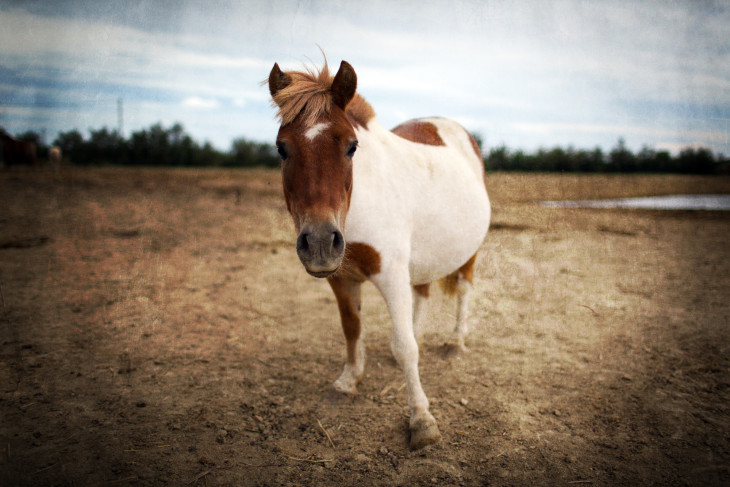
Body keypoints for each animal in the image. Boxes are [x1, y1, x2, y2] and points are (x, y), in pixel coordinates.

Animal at [268, 58, 490, 450]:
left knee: (463, 290)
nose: (321, 241)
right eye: (282, 148)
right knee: (422, 292)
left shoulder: (390, 273)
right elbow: (352, 329)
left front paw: (421, 419)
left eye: (352, 146)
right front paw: (347, 381)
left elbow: (405, 347)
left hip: (469, 253)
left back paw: (454, 342)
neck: (357, 205)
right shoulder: (341, 278)